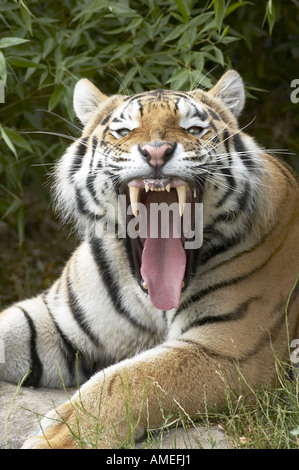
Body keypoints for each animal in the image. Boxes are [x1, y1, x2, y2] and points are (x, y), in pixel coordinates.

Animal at [0, 70, 299, 448]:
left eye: (194, 129)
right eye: (124, 131)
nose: (156, 151)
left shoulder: (229, 345)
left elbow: (129, 379)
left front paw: (59, 437)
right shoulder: (57, 320)